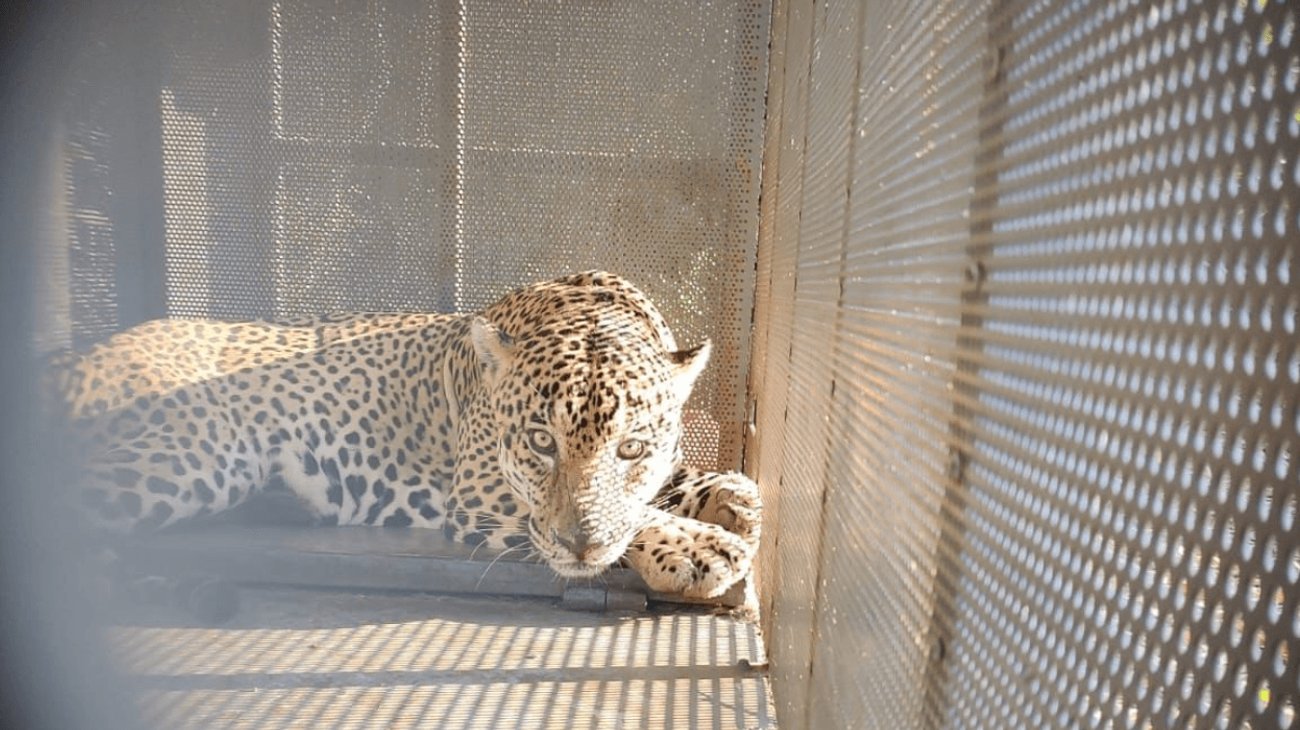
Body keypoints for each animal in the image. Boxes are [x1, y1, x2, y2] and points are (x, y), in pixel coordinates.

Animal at [50, 271, 761, 600]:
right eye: (540, 442)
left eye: (632, 448)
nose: (578, 547)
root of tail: (80, 357)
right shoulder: (478, 494)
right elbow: (624, 517)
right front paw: (699, 547)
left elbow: (669, 485)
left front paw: (731, 499)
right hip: (192, 453)